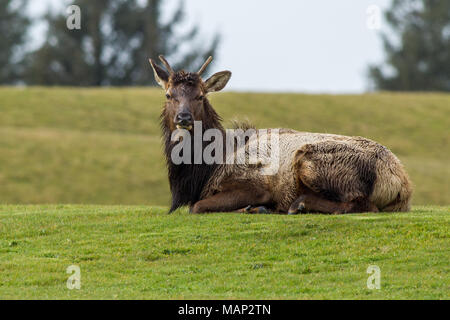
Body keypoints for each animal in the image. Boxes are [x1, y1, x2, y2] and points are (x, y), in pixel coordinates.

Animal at [149, 55, 414, 215]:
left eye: (200, 96)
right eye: (169, 95)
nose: (183, 118)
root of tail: (401, 182)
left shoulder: (255, 185)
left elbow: (196, 207)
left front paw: (254, 209)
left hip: (311, 160)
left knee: (362, 204)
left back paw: (298, 205)